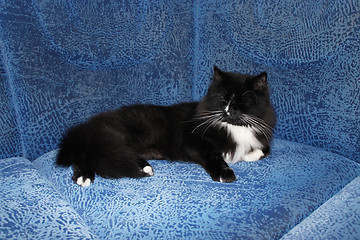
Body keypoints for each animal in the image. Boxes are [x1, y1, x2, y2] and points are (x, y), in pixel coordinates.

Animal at [56, 66, 276, 187]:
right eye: (223, 99)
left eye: (242, 101)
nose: (230, 111)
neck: (233, 127)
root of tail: (88, 125)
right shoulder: (194, 140)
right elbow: (214, 156)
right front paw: (225, 173)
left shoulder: (261, 137)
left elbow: (262, 151)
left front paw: (245, 156)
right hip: (117, 136)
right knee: (87, 154)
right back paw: (84, 176)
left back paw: (143, 167)